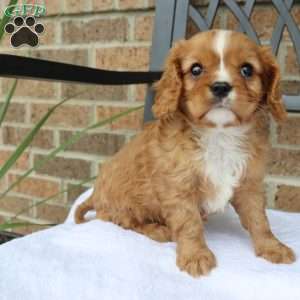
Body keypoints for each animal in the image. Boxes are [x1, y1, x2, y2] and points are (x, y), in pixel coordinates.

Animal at [75, 29, 296, 276]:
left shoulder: (249, 184)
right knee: (126, 222)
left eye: (247, 69)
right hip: (123, 204)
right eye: (196, 69)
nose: (221, 86)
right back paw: (158, 230)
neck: (219, 134)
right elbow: (188, 223)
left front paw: (272, 247)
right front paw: (195, 256)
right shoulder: (178, 187)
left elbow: (259, 219)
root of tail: (94, 195)